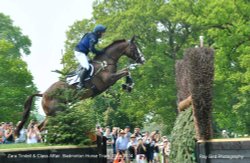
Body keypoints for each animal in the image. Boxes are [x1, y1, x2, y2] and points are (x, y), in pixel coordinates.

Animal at [14, 36, 145, 136]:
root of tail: (43, 94)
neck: (105, 62)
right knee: (42, 127)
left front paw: (128, 85)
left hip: (54, 113)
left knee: (39, 126)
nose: (143, 60)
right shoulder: (109, 79)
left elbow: (127, 70)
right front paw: (128, 85)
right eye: (134, 48)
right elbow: (126, 70)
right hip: (56, 113)